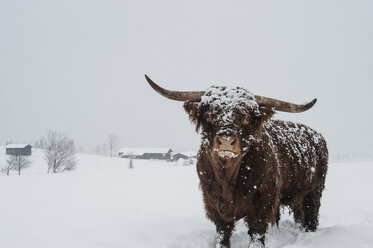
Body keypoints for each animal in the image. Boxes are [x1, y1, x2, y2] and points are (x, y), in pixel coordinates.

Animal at [145, 75, 326, 248]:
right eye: (209, 114)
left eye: (246, 117)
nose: (226, 140)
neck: (227, 177)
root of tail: (315, 134)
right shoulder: (213, 204)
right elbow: (223, 234)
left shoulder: (262, 204)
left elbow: (256, 234)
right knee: (300, 215)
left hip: (314, 191)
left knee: (311, 216)